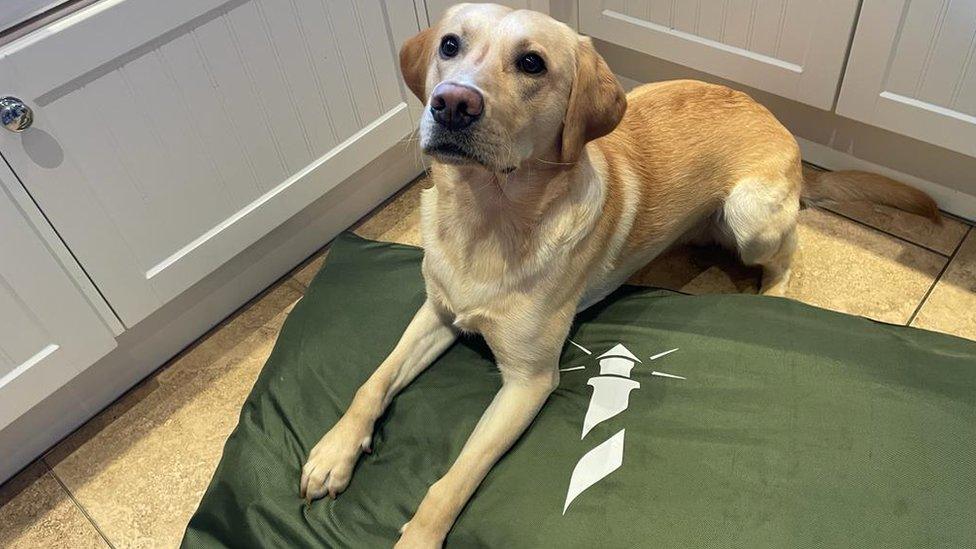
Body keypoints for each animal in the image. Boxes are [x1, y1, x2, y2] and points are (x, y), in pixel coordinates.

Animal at [302, 3, 940, 544]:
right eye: (450, 45)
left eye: (531, 63)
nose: (451, 103)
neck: (486, 217)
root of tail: (783, 126)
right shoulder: (438, 310)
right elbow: (373, 381)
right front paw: (334, 452)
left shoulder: (529, 381)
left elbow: (455, 477)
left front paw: (419, 534)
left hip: (751, 215)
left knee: (791, 248)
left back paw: (772, 295)